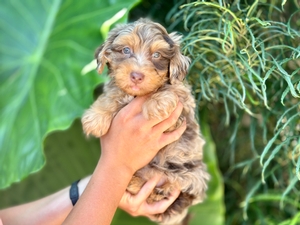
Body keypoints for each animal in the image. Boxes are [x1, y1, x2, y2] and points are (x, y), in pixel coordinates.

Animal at [81, 18, 210, 224]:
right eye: (126, 50)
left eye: (157, 55)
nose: (136, 76)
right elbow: (114, 94)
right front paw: (96, 117)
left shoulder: (181, 110)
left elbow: (170, 91)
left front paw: (157, 101)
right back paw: (134, 182)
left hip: (192, 175)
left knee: (179, 191)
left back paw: (155, 190)